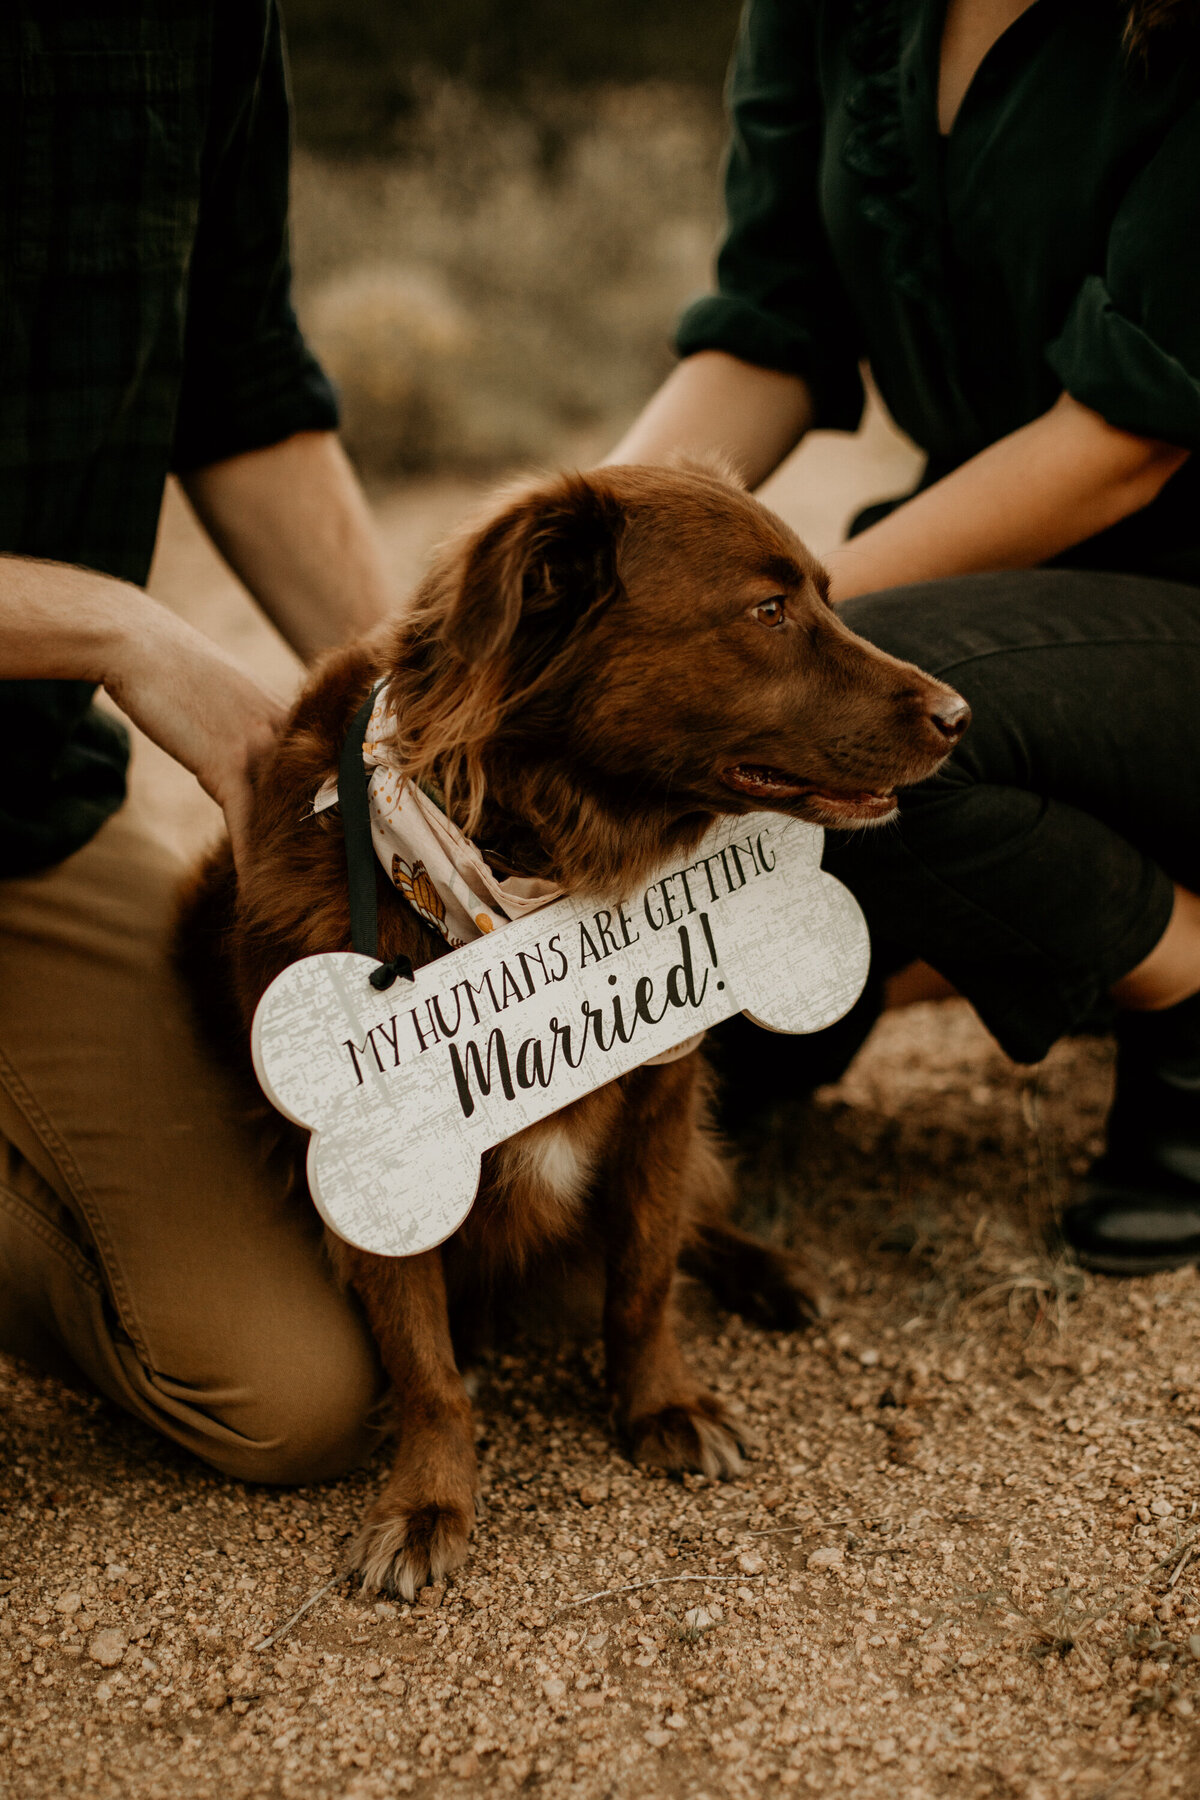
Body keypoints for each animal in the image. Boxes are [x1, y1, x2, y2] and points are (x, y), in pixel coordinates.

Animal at [176, 464, 964, 1605]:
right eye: (767, 612)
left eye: (821, 593)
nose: (961, 716)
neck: (539, 862)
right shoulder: (372, 1168)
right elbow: (425, 1365)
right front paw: (428, 1501)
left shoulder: (665, 1096)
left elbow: (642, 1279)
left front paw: (662, 1407)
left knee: (695, 1222)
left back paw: (774, 1272)